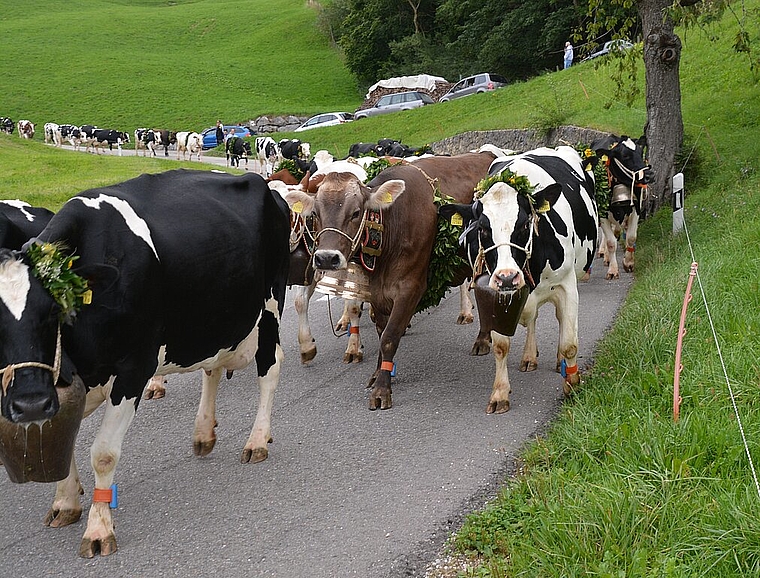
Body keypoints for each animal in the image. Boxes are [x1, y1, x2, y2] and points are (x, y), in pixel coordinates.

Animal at [0, 169, 290, 556]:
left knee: (269, 370)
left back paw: (257, 440)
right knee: (212, 368)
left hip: (270, 305)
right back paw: (203, 433)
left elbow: (103, 453)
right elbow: (63, 435)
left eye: (51, 312)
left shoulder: (133, 368)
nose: (29, 402)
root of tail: (263, 183)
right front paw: (65, 503)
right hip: (213, 319)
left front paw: (98, 529)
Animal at [284, 151, 492, 408]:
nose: (325, 258)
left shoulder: (410, 288)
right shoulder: (375, 292)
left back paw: (481, 338)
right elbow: (381, 332)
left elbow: (390, 337)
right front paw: (377, 374)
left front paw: (382, 390)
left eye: (356, 212)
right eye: (315, 214)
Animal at [440, 146, 600, 412]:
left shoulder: (567, 285)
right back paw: (528, 356)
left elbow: (569, 343)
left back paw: (558, 361)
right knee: (532, 318)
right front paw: (500, 393)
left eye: (525, 224)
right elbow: (501, 346)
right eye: (482, 228)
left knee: (558, 319)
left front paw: (572, 385)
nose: (507, 277)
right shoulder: (497, 295)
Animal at [592, 135, 652, 280]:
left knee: (617, 230)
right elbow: (611, 242)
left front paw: (628, 263)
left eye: (641, 152)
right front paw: (613, 270)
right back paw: (604, 254)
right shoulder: (602, 213)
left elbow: (631, 237)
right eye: (625, 156)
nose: (648, 176)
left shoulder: (636, 208)